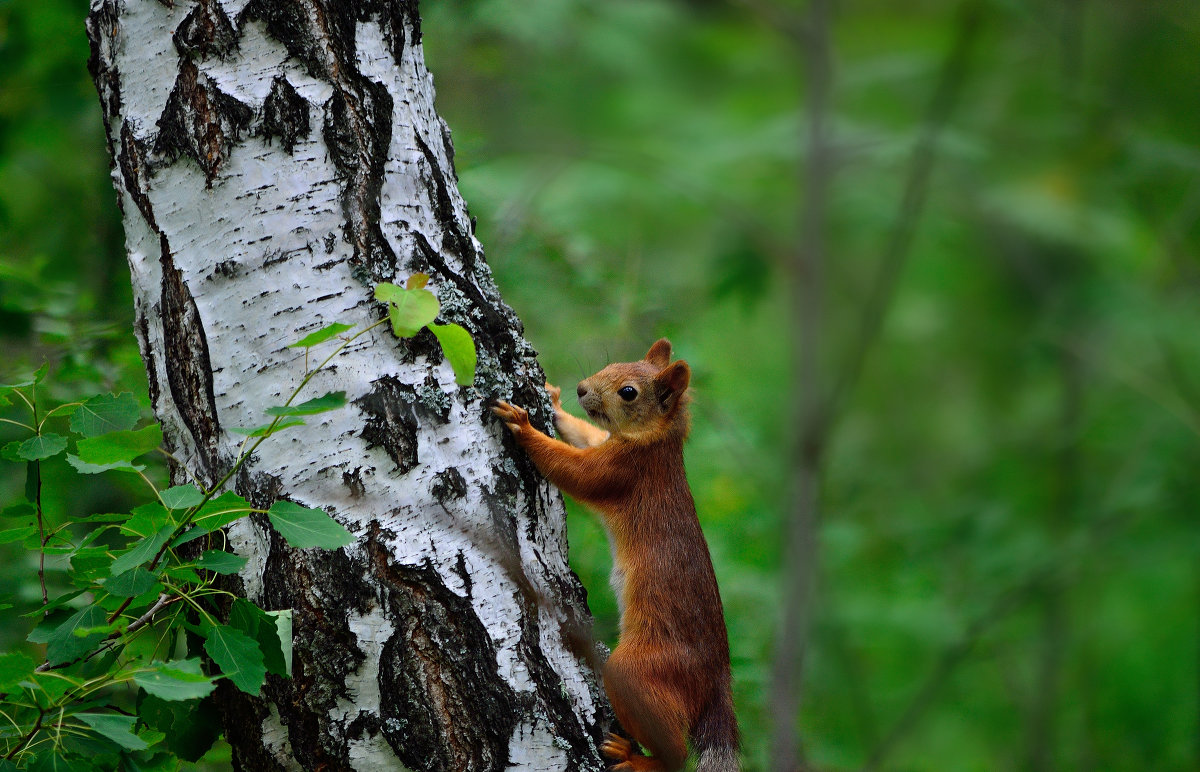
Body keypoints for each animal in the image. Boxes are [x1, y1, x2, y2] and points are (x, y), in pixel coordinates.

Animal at [489, 340, 734, 772]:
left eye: (629, 392)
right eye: (613, 364)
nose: (581, 388)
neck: (655, 443)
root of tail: (715, 680)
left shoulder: (622, 471)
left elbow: (572, 470)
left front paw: (524, 426)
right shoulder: (605, 446)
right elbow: (585, 434)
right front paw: (553, 403)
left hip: (638, 670)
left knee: (675, 755)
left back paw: (636, 759)